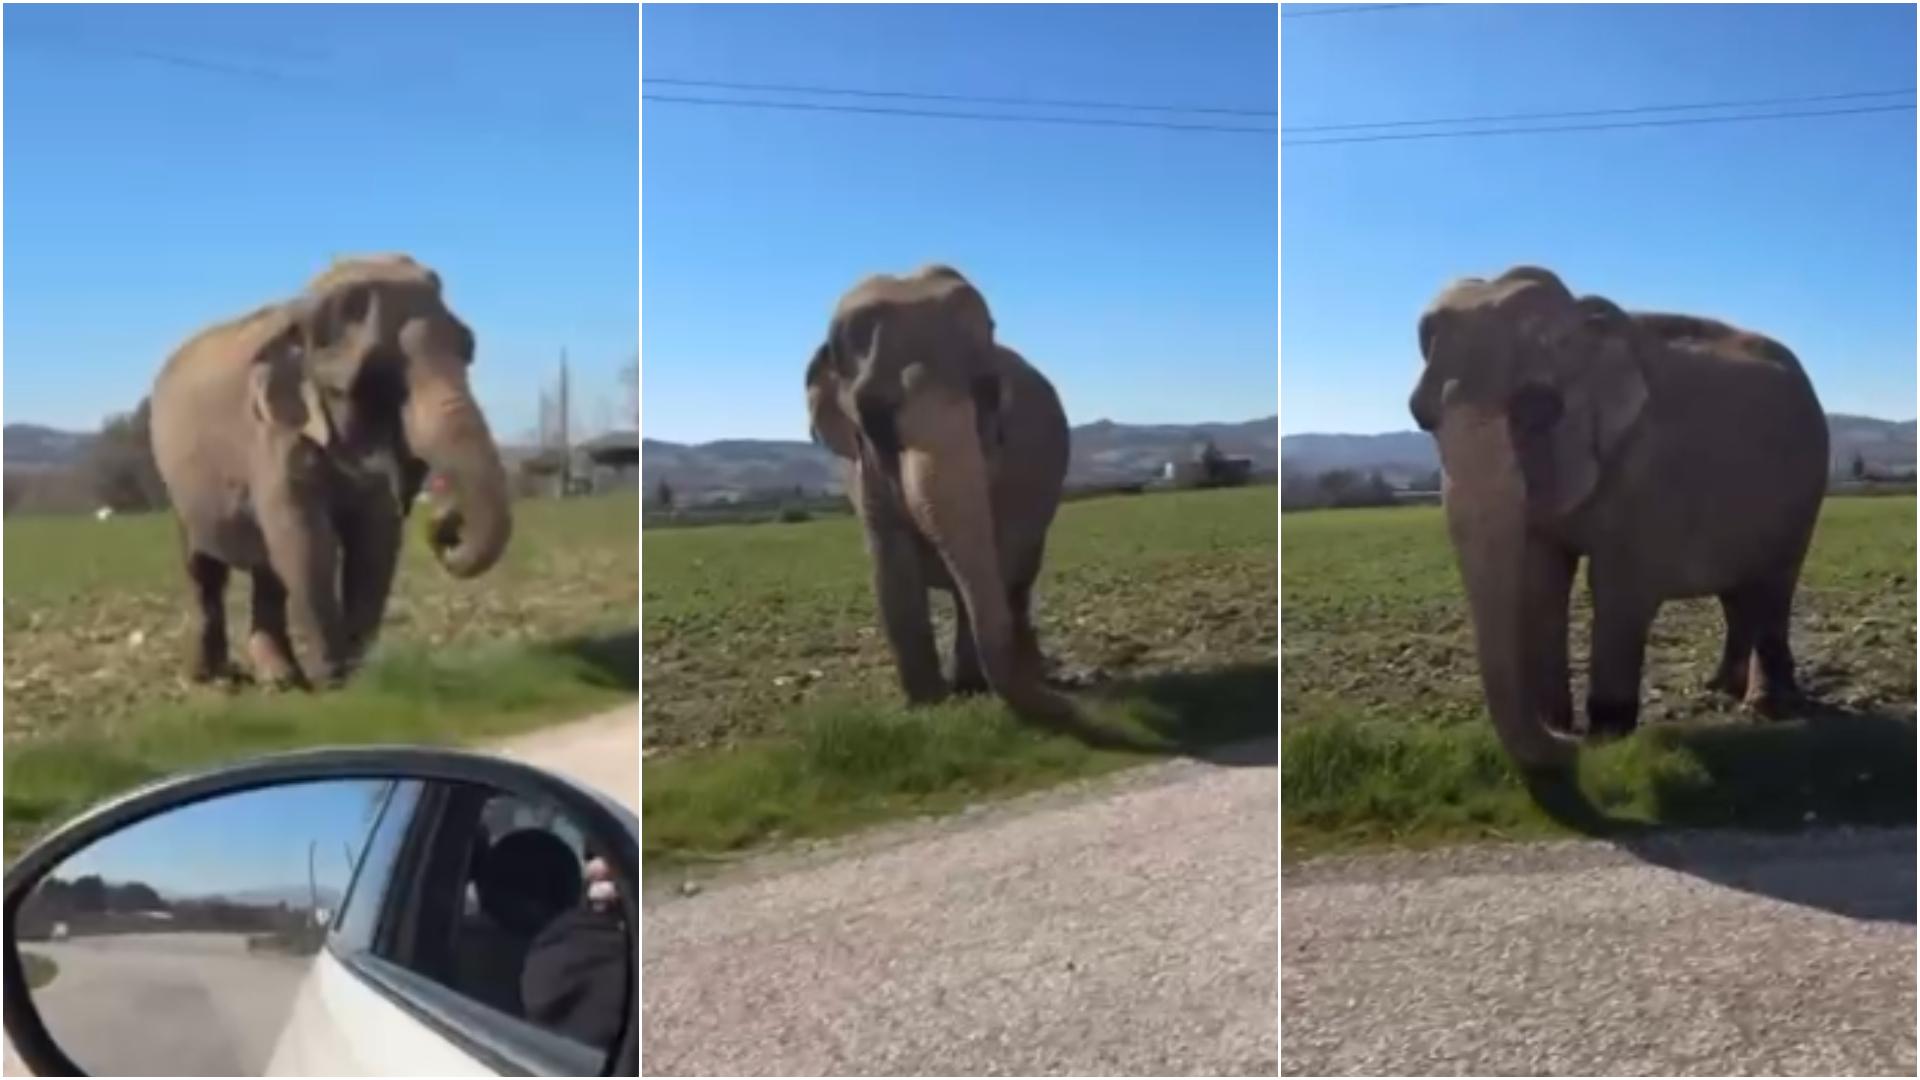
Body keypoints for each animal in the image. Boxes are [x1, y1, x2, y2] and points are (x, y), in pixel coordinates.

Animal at [150, 255, 514, 684]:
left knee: (267, 570)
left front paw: (357, 672)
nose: (446, 522)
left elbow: (376, 538)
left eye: (468, 349)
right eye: (373, 378)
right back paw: (214, 678)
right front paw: (333, 678)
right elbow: (307, 538)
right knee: (205, 571)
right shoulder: (272, 436)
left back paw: (279, 679)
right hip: (176, 484)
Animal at [802, 261, 1082, 718]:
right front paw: (927, 706)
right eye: (872, 414)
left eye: (988, 392)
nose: (1069, 696)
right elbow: (891, 569)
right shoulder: (865, 473)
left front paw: (968, 690)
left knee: (1018, 577)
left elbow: (994, 556)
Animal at [1413, 265, 1827, 768]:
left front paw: (1607, 738)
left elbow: (1618, 586)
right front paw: (1561, 722)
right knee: (1738, 593)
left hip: (1807, 486)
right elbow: (1541, 580)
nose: (1568, 740)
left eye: (1537, 408)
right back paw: (1721, 688)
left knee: (1773, 586)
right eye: (1420, 417)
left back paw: (1767, 709)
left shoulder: (1647, 466)